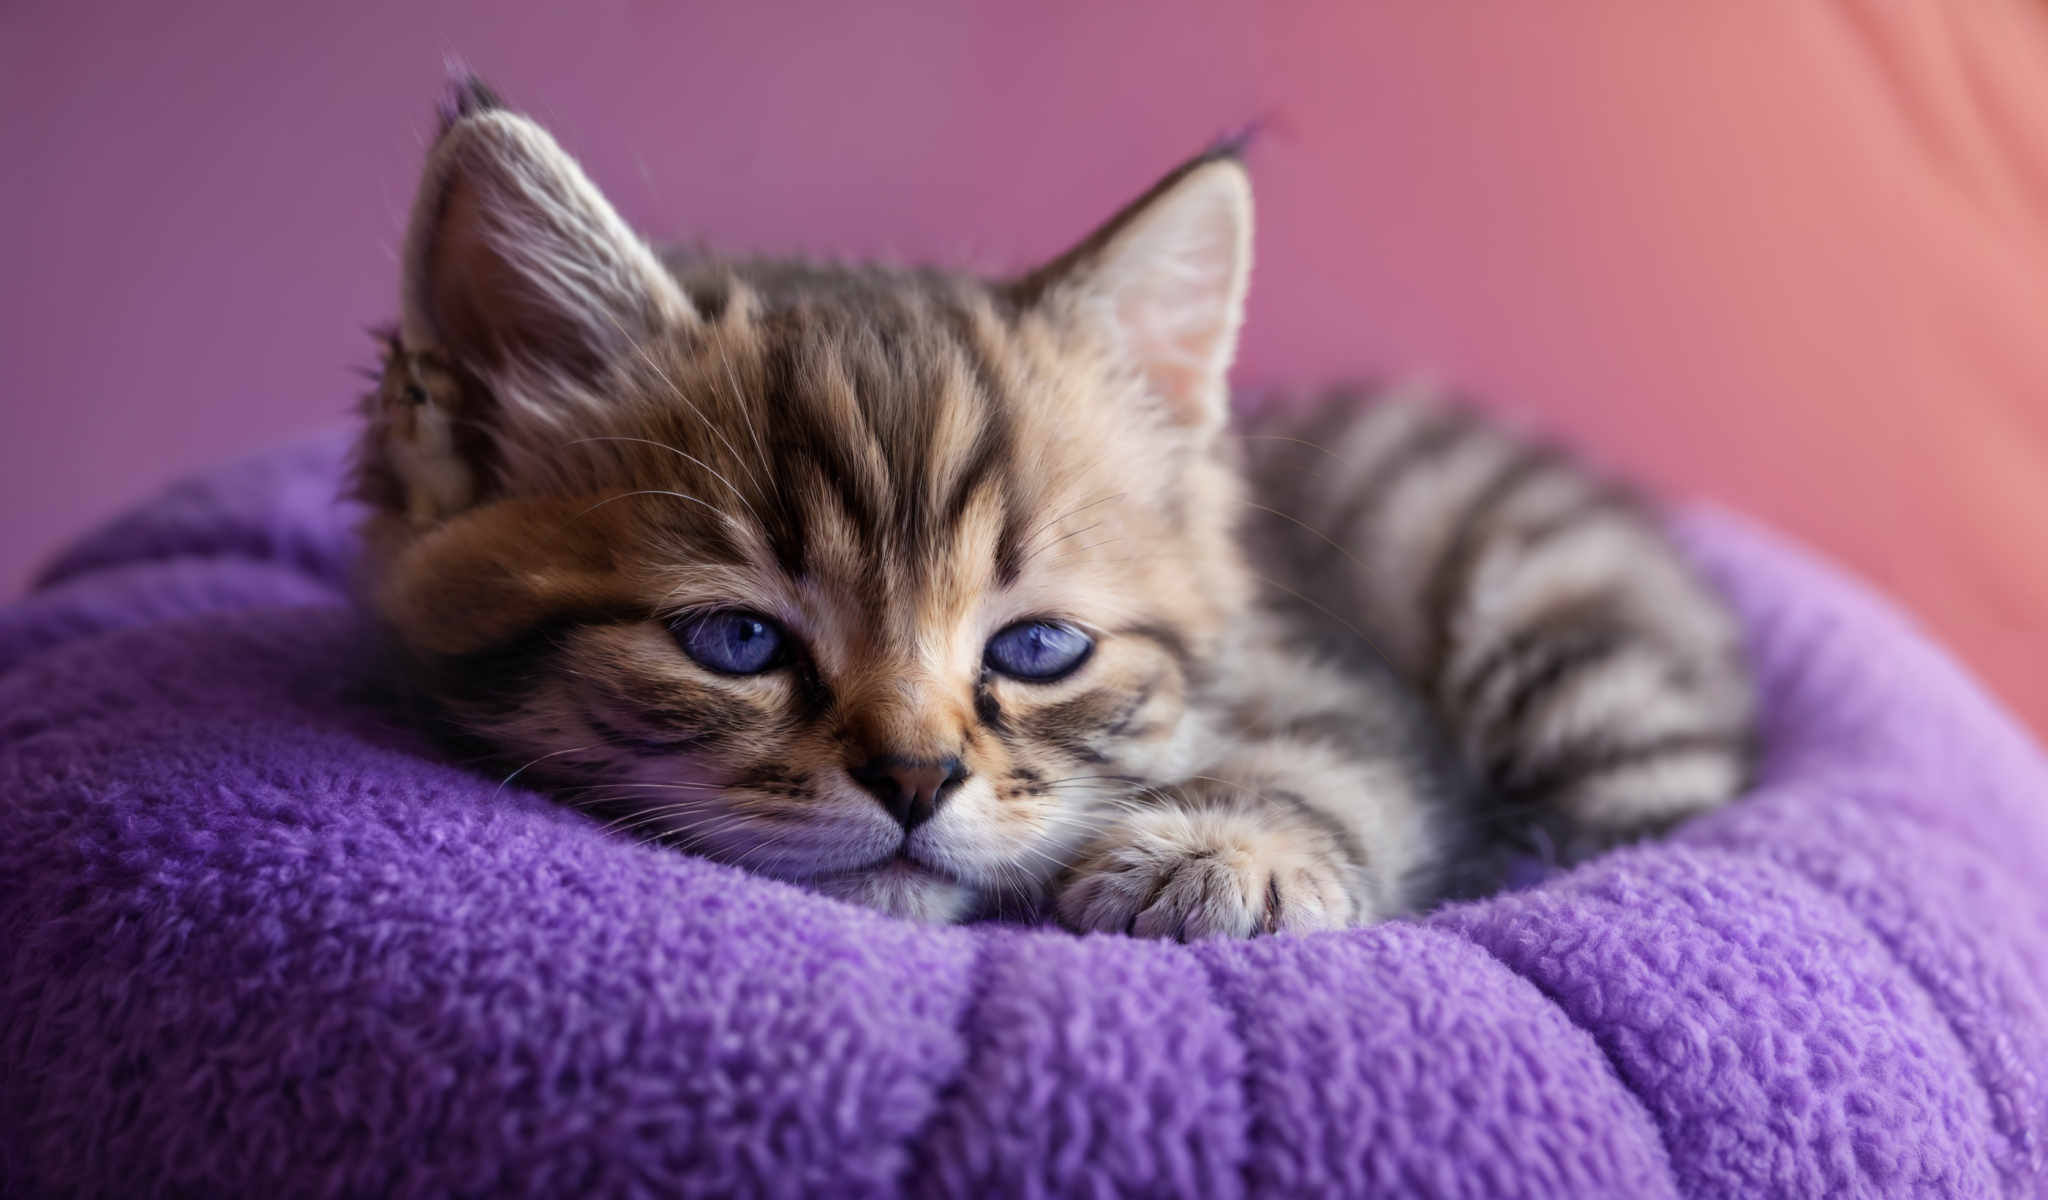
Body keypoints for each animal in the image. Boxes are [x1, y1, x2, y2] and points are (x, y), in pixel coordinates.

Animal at [348, 81, 1744, 933]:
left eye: (1036, 649)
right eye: (735, 642)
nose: (913, 779)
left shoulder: (1336, 673)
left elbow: (1339, 752)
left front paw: (1223, 851)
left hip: (1566, 657)